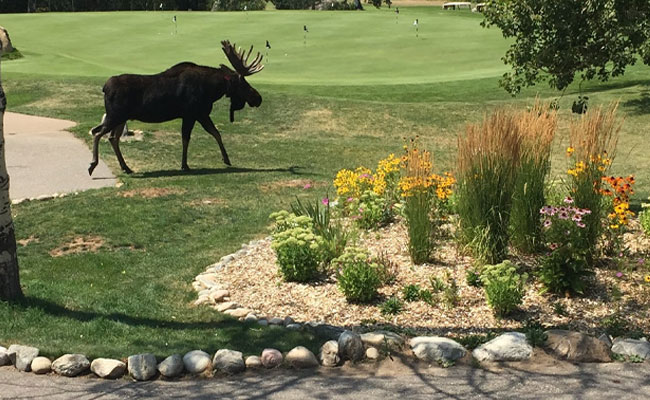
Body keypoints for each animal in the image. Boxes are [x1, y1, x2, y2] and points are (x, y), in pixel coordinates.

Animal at [87, 39, 262, 176]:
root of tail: (104, 88)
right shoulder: (192, 113)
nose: (258, 98)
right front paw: (185, 165)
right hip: (115, 115)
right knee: (97, 133)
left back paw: (126, 168)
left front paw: (226, 159)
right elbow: (187, 138)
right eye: (242, 83)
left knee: (112, 137)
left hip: (122, 118)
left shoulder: (201, 114)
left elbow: (215, 133)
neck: (212, 90)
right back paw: (93, 165)